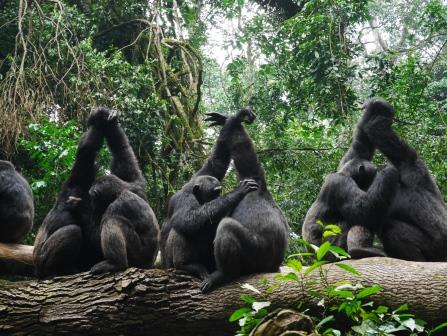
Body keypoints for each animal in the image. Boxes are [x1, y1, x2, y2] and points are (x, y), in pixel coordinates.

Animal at [86, 109, 160, 274]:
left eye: (93, 198)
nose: (92, 203)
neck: (120, 192)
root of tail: (149, 265)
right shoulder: (135, 184)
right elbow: (123, 152)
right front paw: (106, 118)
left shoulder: (119, 205)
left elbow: (97, 237)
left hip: (137, 255)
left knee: (113, 222)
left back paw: (115, 263)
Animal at [161, 112, 260, 278]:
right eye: (215, 192)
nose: (219, 195)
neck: (197, 196)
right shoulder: (184, 200)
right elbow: (188, 219)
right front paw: (237, 192)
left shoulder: (203, 174)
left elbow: (217, 162)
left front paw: (230, 118)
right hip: (170, 263)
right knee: (181, 229)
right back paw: (188, 266)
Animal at [200, 109, 290, 292]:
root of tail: (273, 268)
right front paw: (226, 119)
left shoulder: (252, 176)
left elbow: (242, 149)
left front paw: (236, 117)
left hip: (257, 255)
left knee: (227, 226)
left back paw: (224, 274)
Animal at [300, 103, 400, 260]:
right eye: (370, 180)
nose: (368, 187)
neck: (345, 173)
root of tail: (314, 258)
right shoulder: (341, 184)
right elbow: (364, 210)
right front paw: (390, 170)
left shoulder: (347, 161)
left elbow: (361, 146)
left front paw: (377, 106)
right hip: (331, 249)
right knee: (351, 221)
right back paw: (360, 249)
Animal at [362, 98, 447, 262]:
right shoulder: (413, 168)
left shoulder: (410, 165)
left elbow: (378, 132)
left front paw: (377, 107)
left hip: (435, 250)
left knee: (391, 228)